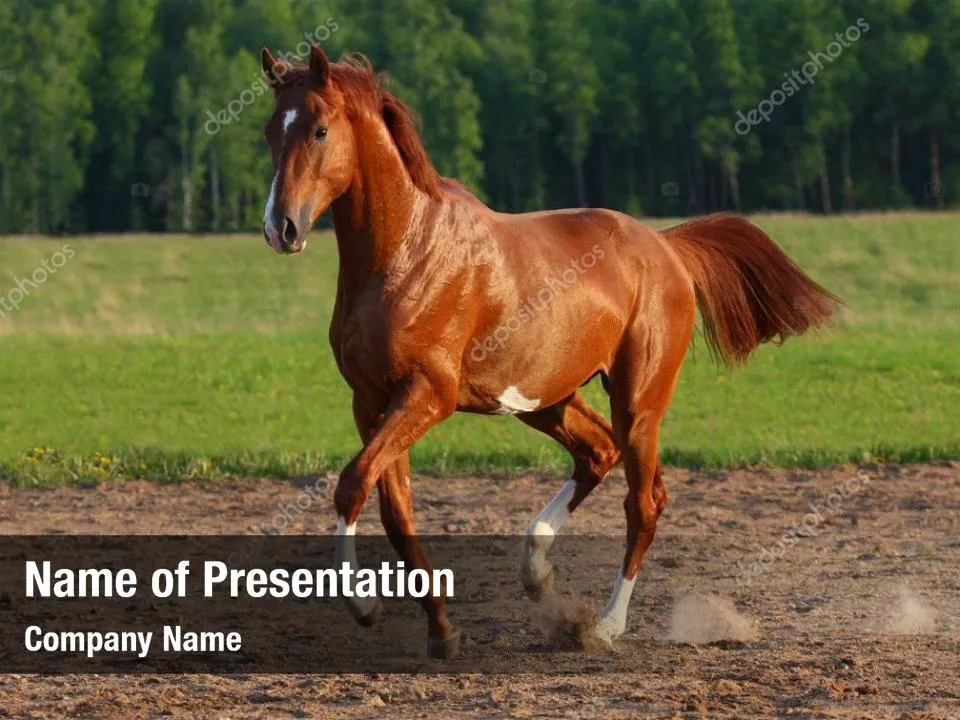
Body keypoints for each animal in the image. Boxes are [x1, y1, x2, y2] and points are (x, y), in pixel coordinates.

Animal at [259, 45, 838, 659]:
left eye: (320, 129)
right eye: (271, 130)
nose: (281, 228)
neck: (406, 251)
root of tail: (665, 246)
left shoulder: (428, 395)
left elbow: (352, 485)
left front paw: (363, 606)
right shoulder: (370, 400)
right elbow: (394, 510)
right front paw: (442, 630)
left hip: (637, 400)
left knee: (644, 500)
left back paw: (606, 625)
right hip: (547, 398)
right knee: (598, 454)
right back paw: (536, 571)